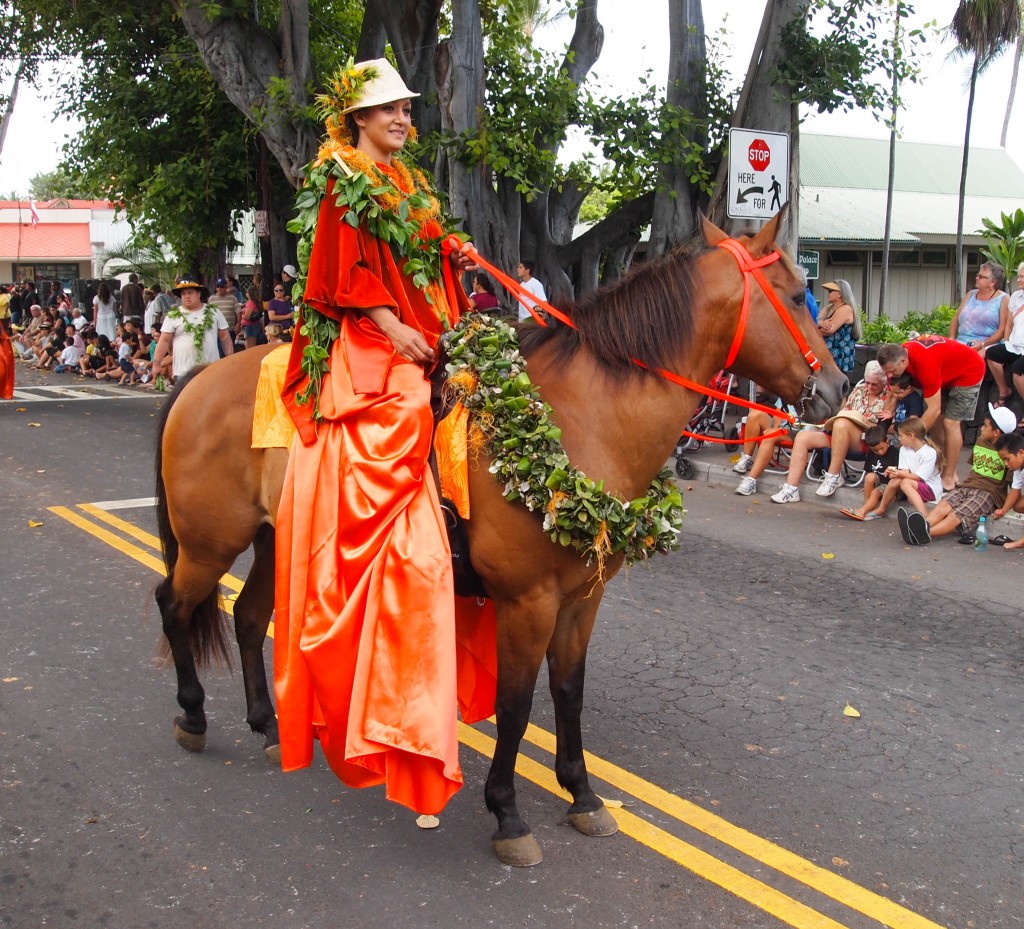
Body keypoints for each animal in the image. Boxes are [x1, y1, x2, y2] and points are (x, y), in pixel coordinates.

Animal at [149, 208, 839, 864]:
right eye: (796, 293)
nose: (834, 390)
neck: (581, 419)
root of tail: (199, 377)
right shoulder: (527, 600)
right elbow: (515, 705)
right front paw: (507, 813)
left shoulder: (583, 597)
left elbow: (568, 691)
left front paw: (582, 794)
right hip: (210, 543)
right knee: (175, 605)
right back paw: (192, 714)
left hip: (271, 538)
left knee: (246, 615)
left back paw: (267, 726)